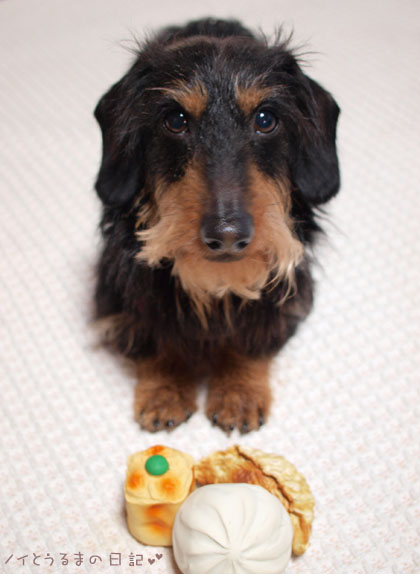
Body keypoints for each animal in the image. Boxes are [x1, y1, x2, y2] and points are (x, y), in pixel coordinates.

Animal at [93, 18, 340, 434]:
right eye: (175, 120)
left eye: (265, 119)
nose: (227, 237)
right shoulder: (119, 295)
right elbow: (156, 332)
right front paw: (166, 389)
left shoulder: (287, 298)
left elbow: (250, 339)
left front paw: (238, 392)